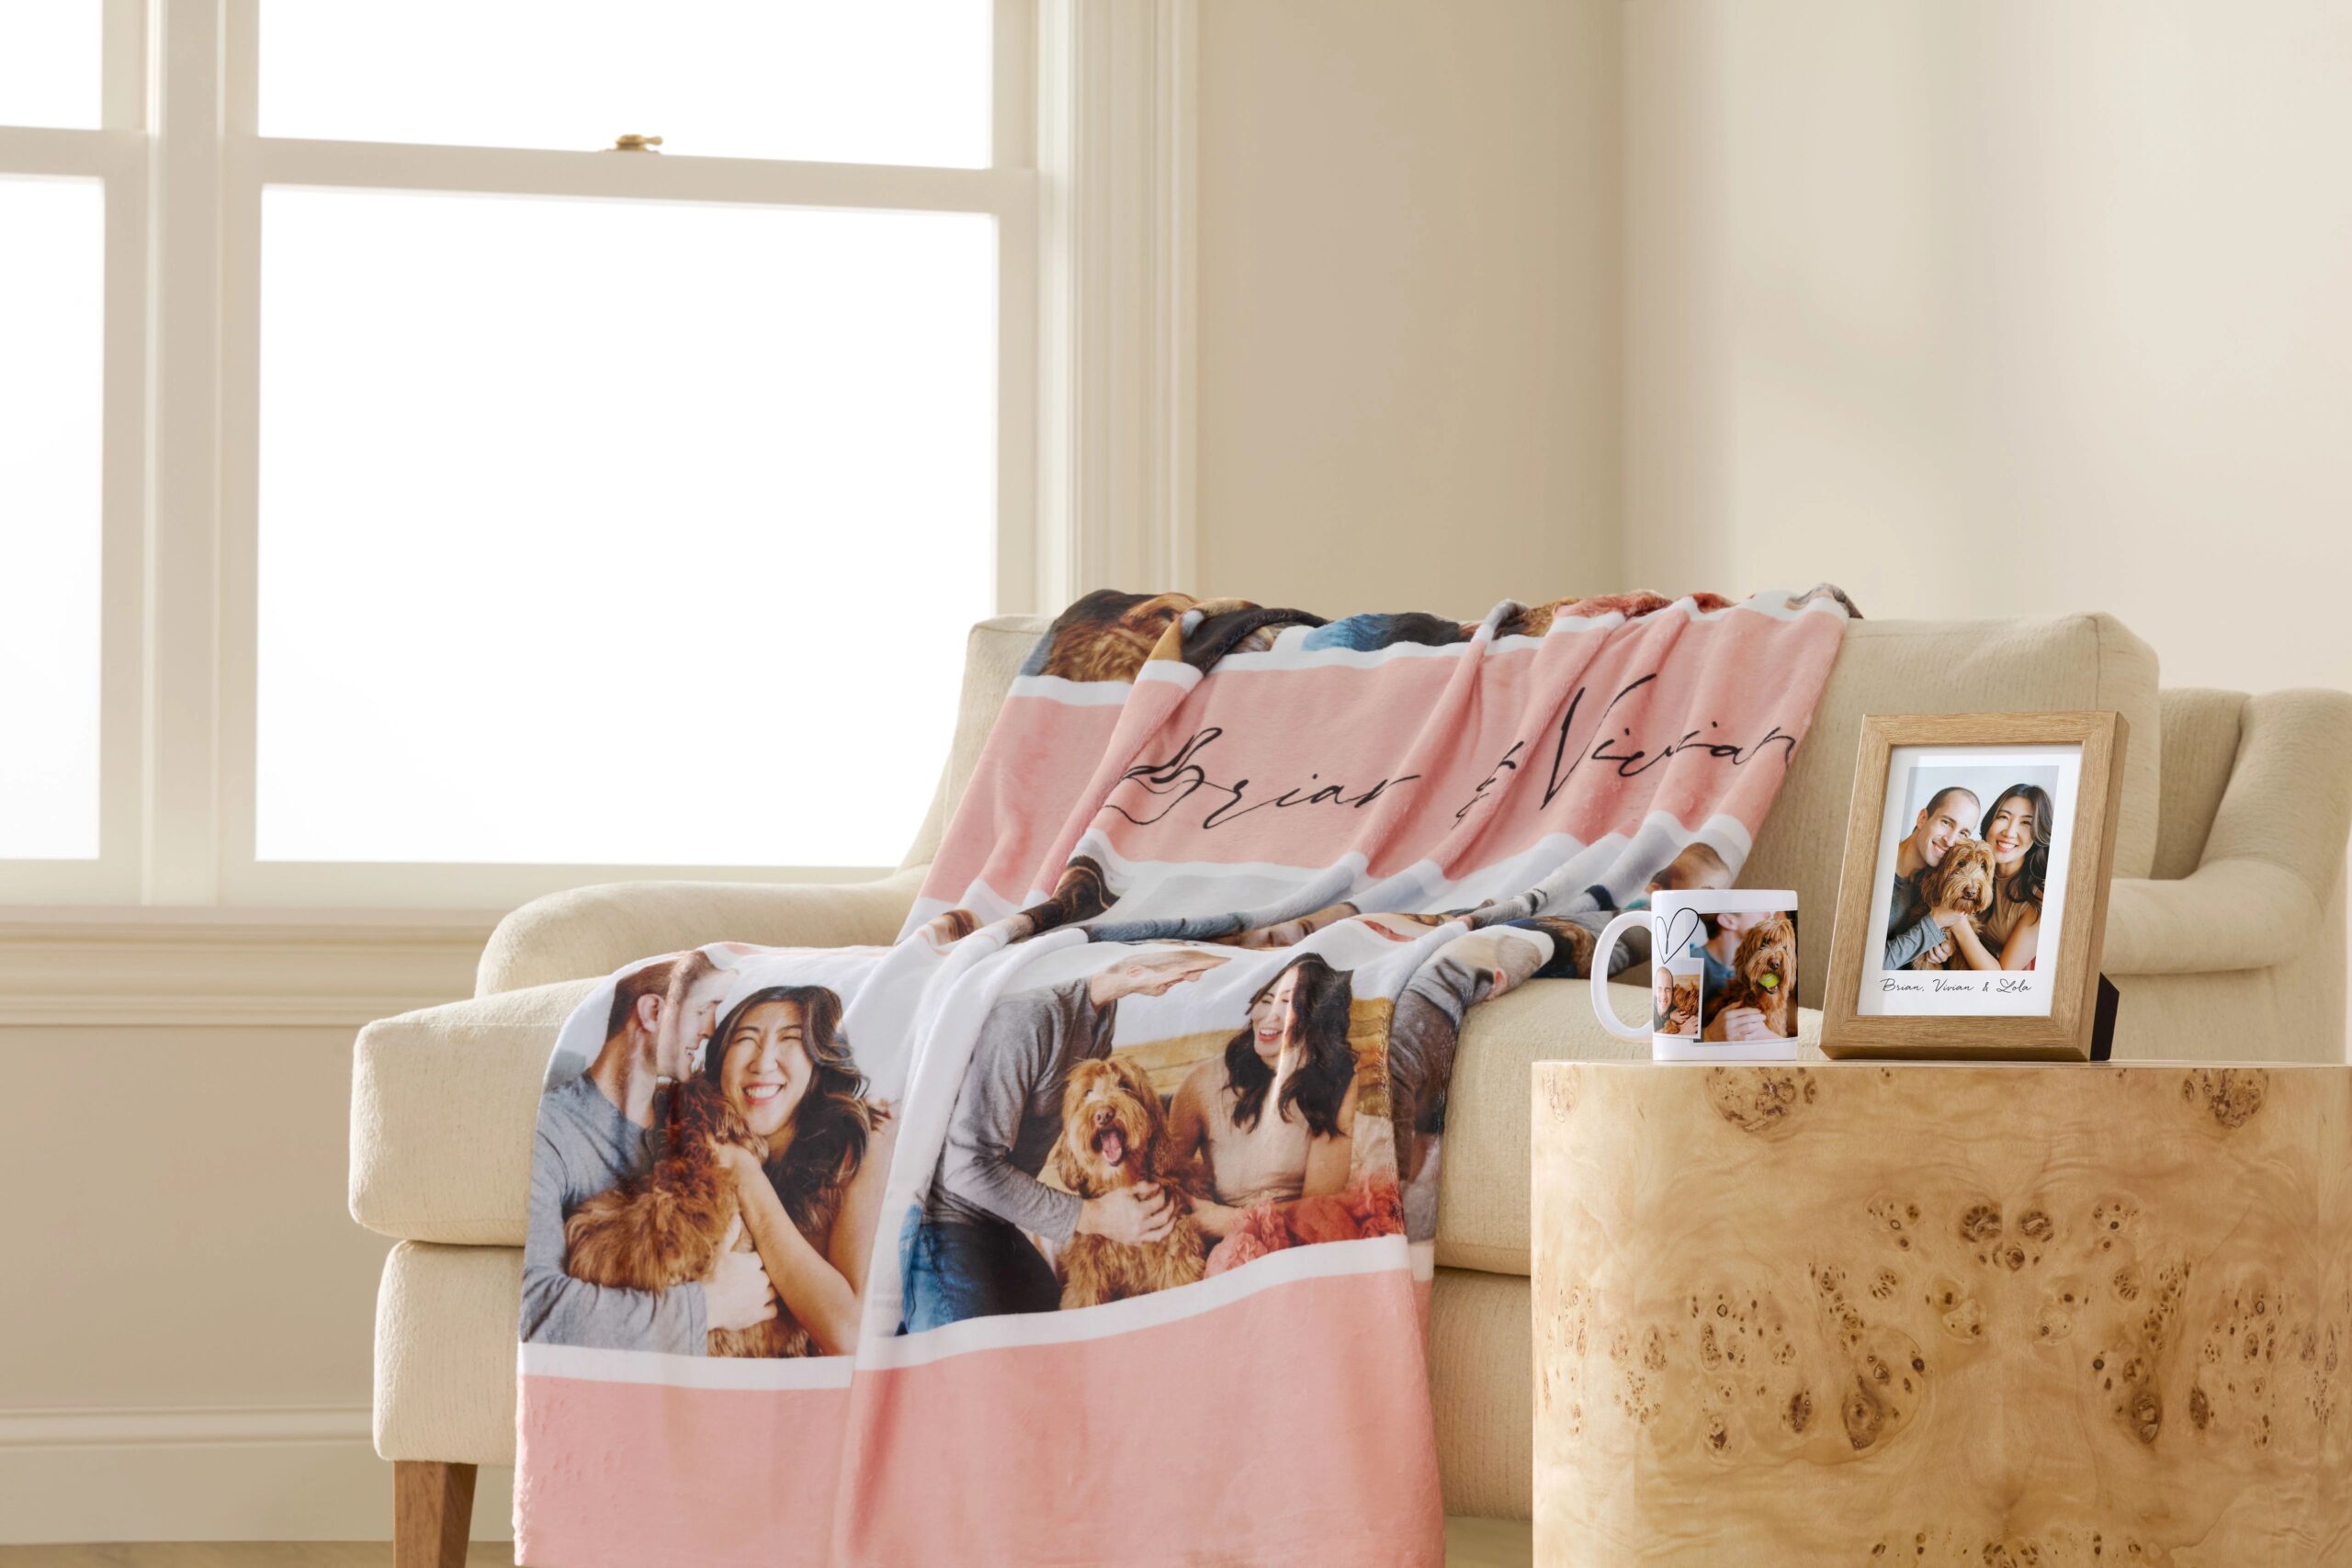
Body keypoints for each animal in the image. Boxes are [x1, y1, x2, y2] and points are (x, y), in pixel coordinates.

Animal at [1053, 1062, 1204, 1306]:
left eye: (1125, 1085)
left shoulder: (1175, 1255)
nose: (1103, 1114)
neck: (1121, 1182)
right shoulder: (1086, 1272)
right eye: (1087, 1092)